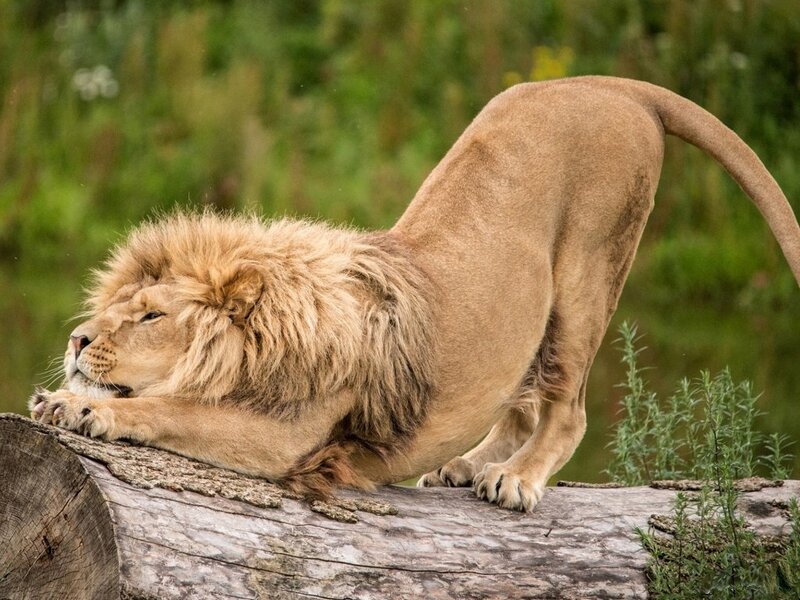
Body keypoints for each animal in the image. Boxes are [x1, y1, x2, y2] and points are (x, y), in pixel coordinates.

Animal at [30, 77, 800, 511]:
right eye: (109, 311)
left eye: (151, 316)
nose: (75, 340)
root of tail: (618, 86)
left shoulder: (294, 434)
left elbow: (172, 409)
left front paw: (78, 406)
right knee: (520, 400)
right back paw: (467, 467)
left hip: (588, 272)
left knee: (569, 409)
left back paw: (517, 480)